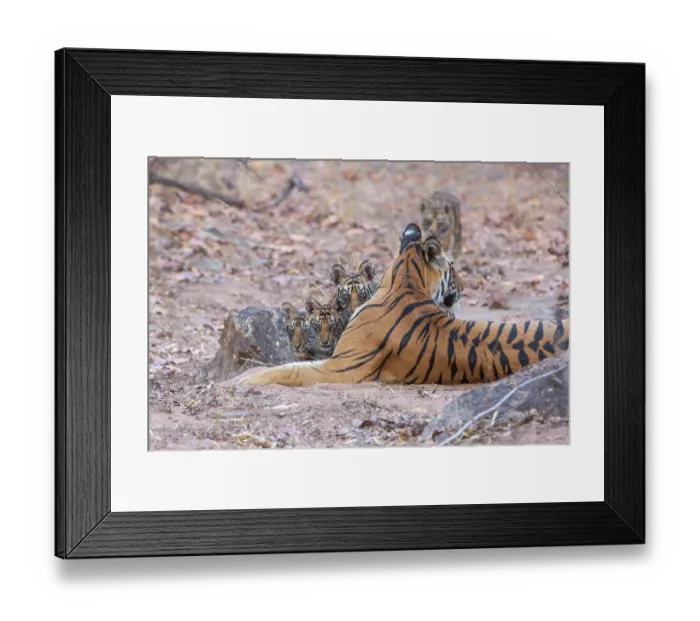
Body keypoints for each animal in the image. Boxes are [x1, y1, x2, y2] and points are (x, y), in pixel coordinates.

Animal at [241, 223, 568, 388]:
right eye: (454, 267)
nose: (464, 289)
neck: (407, 282)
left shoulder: (341, 367)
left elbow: (289, 370)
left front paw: (241, 380)